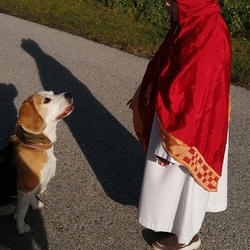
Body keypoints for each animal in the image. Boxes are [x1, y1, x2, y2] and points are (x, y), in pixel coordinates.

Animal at [0, 90, 73, 234]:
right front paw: (21, 227)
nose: (69, 93)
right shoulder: (26, 190)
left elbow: (32, 198)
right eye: (46, 100)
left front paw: (35, 204)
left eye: (52, 93)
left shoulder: (32, 189)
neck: (36, 146)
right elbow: (22, 212)